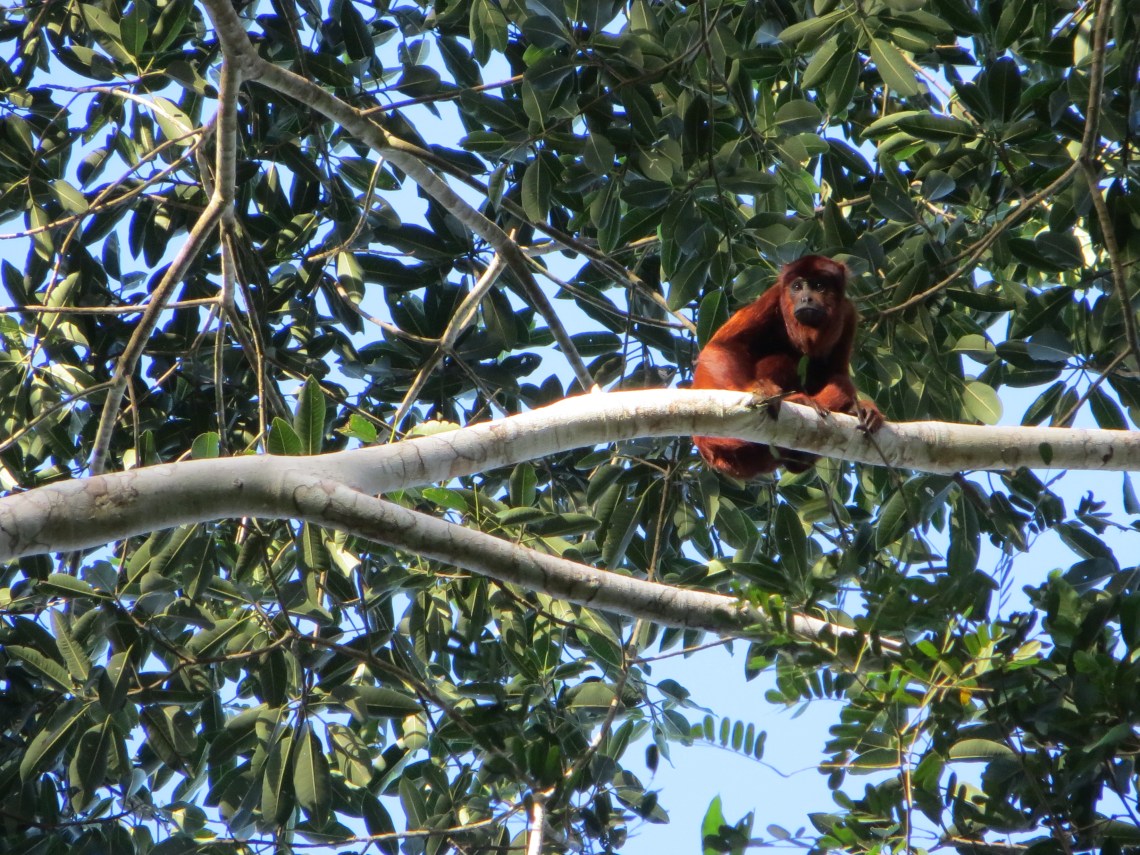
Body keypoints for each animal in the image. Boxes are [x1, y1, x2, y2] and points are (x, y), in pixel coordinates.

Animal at [691, 255, 883, 478]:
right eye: (797, 287)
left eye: (819, 286)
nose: (806, 299)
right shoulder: (773, 297)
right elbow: (723, 346)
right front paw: (759, 390)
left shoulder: (849, 312)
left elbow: (838, 374)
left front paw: (860, 407)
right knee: (780, 359)